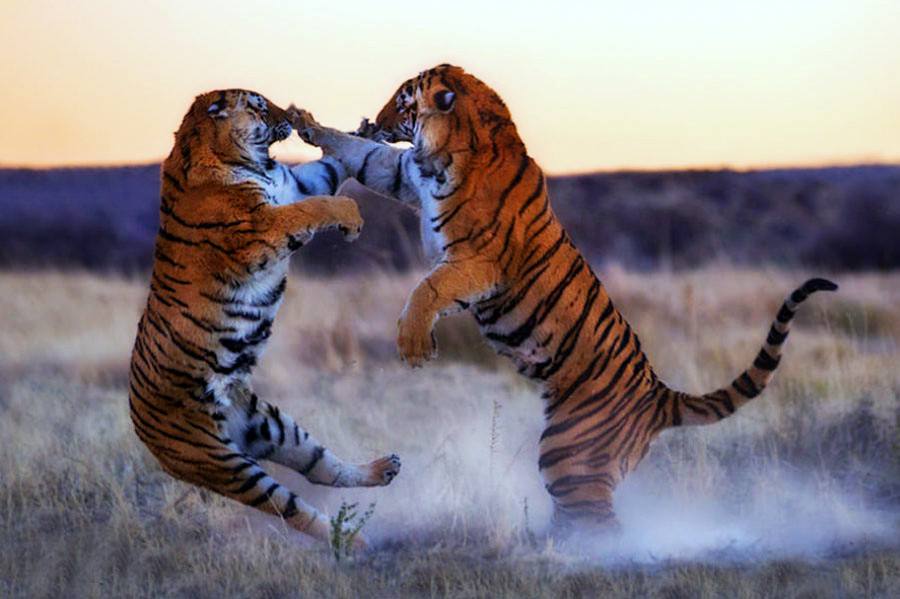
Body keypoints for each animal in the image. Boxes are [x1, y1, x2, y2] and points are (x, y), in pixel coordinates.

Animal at [128, 89, 401, 550]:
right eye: (258, 105)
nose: (285, 115)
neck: (248, 160)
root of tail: (137, 426)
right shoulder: (259, 226)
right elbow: (315, 207)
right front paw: (351, 215)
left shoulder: (295, 184)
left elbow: (331, 167)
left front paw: (346, 129)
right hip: (224, 465)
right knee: (292, 509)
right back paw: (353, 543)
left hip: (270, 425)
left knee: (323, 469)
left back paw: (383, 470)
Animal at [287, 64, 838, 534]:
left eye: (403, 102)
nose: (376, 120)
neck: (444, 154)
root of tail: (660, 397)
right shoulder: (403, 175)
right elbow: (363, 155)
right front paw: (306, 122)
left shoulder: (478, 263)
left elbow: (428, 287)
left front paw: (414, 345)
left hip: (567, 453)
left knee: (601, 526)